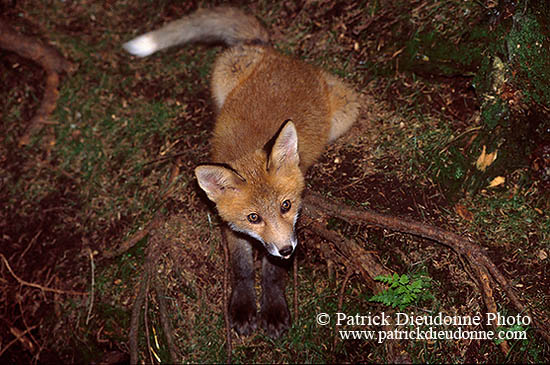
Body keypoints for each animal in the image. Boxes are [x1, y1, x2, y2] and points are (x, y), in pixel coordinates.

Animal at [123, 7, 360, 338]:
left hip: (345, 113)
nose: (287, 249)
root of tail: (278, 54)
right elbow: (242, 267)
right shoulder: (230, 226)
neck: (247, 151)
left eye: (286, 206)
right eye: (253, 218)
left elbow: (271, 271)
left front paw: (273, 308)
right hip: (223, 81)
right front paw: (244, 306)